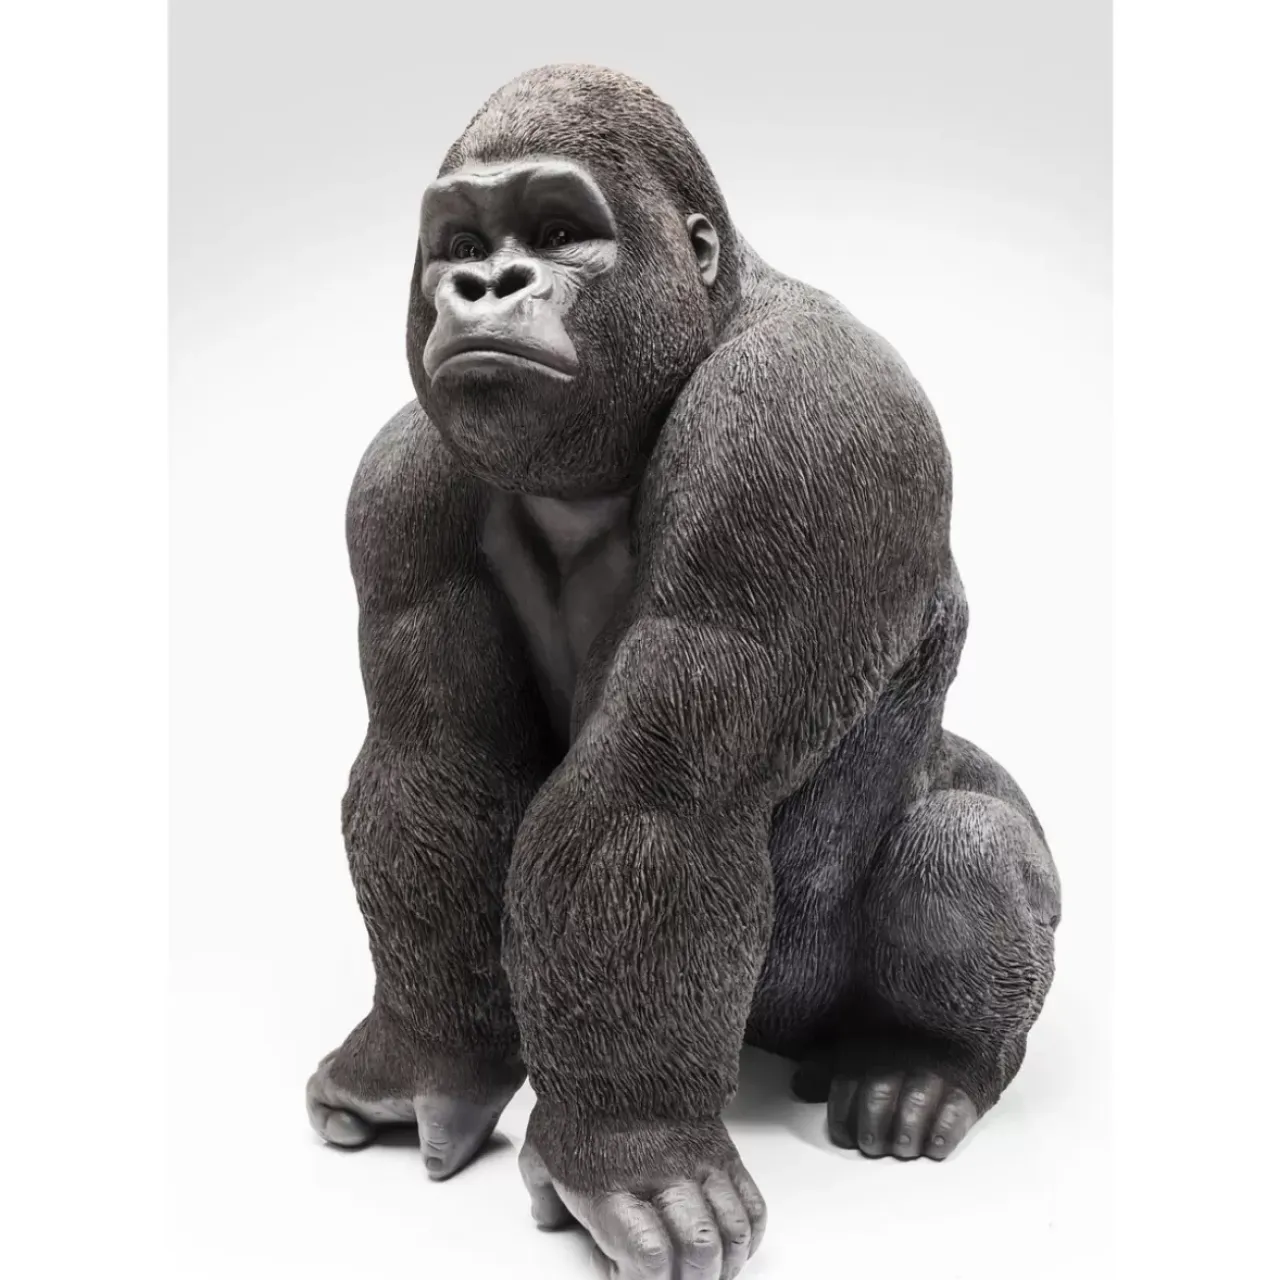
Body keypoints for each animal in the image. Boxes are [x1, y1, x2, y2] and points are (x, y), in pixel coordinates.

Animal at [304, 64, 1061, 1280]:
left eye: (560, 233)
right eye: (458, 243)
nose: (484, 282)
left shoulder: (801, 423)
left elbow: (656, 796)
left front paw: (625, 1148)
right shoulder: (399, 481)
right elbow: (434, 769)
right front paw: (422, 1056)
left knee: (966, 844)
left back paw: (923, 1062)